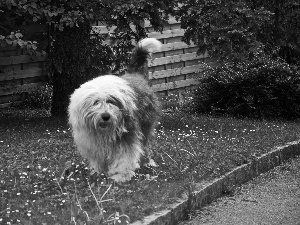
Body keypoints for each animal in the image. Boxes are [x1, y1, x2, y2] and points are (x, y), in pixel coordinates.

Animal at [68, 37, 162, 182]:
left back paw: (148, 162)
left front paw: (120, 175)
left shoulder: (127, 136)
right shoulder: (92, 141)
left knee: (146, 146)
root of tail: (135, 74)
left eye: (111, 101)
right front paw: (98, 172)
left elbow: (124, 157)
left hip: (146, 125)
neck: (104, 131)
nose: (106, 116)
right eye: (96, 102)